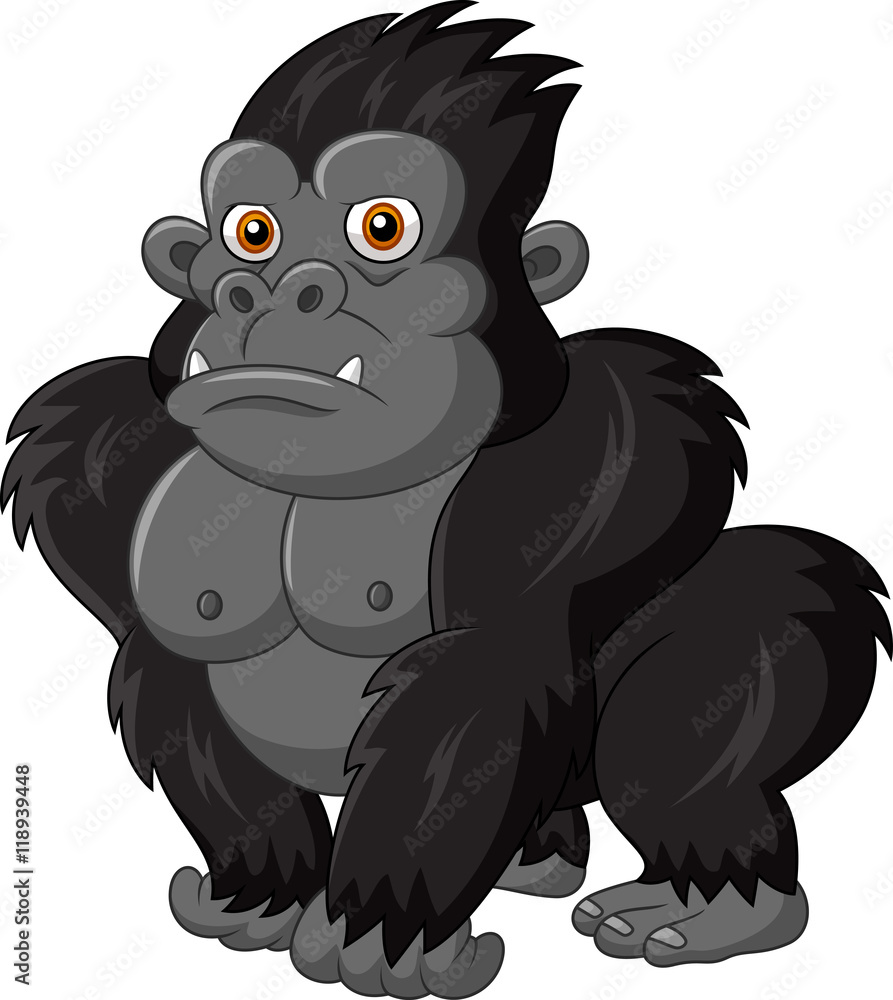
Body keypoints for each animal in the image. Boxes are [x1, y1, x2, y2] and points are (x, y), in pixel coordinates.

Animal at [3, 3, 890, 996]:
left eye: (382, 228)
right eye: (252, 231)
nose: (271, 291)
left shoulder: (600, 462)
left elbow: (481, 678)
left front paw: (382, 937)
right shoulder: (93, 459)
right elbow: (172, 675)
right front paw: (264, 900)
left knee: (738, 626)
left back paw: (707, 903)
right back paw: (537, 863)